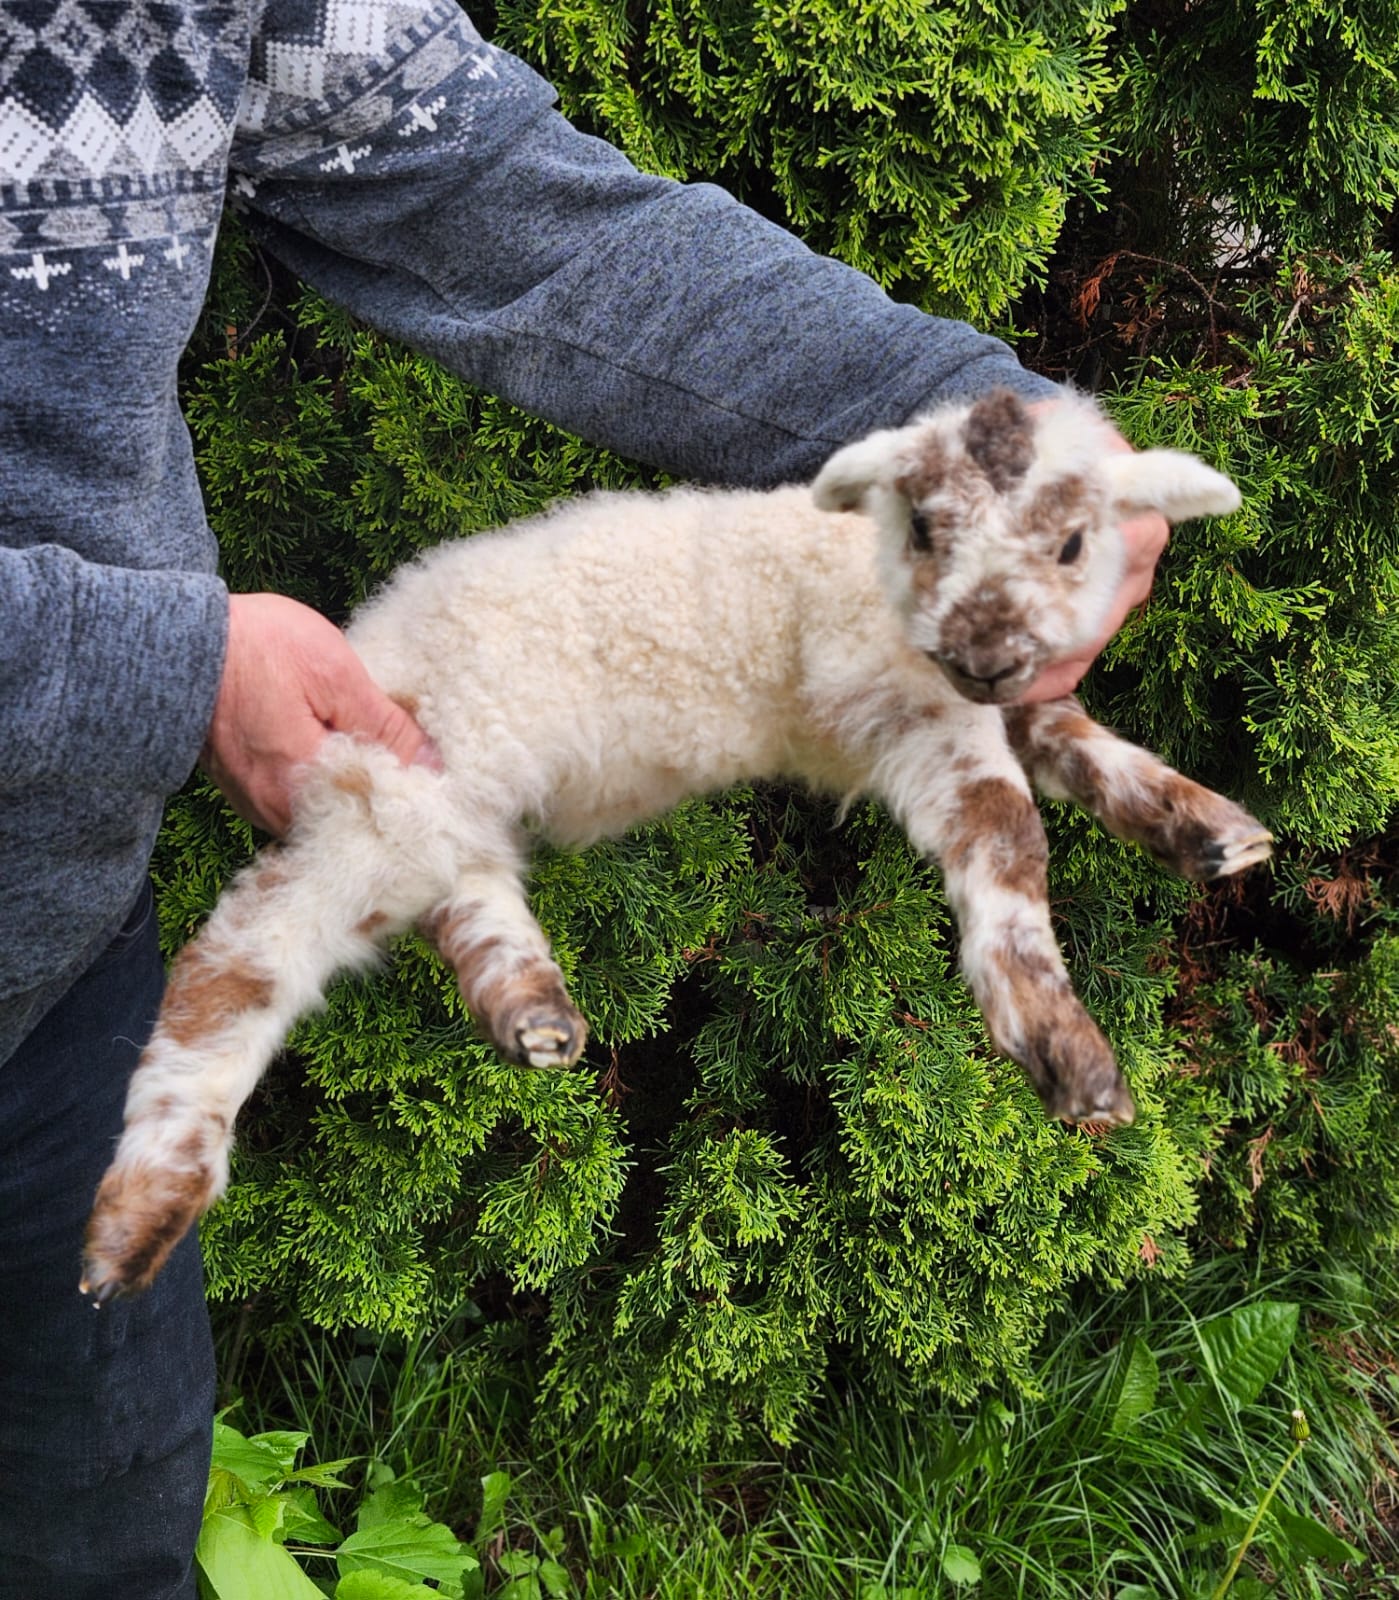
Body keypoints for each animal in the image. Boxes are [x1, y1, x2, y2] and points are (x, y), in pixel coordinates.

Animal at [81, 388, 1272, 1302]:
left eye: (1071, 544)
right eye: (925, 528)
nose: (981, 650)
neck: (868, 581)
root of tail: (372, 648)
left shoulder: (988, 701)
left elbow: (1069, 738)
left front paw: (1210, 833)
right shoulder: (907, 717)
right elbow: (1007, 833)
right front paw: (1066, 1052)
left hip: (438, 809)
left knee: (465, 896)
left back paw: (534, 1016)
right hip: (386, 799)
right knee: (241, 958)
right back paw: (137, 1220)